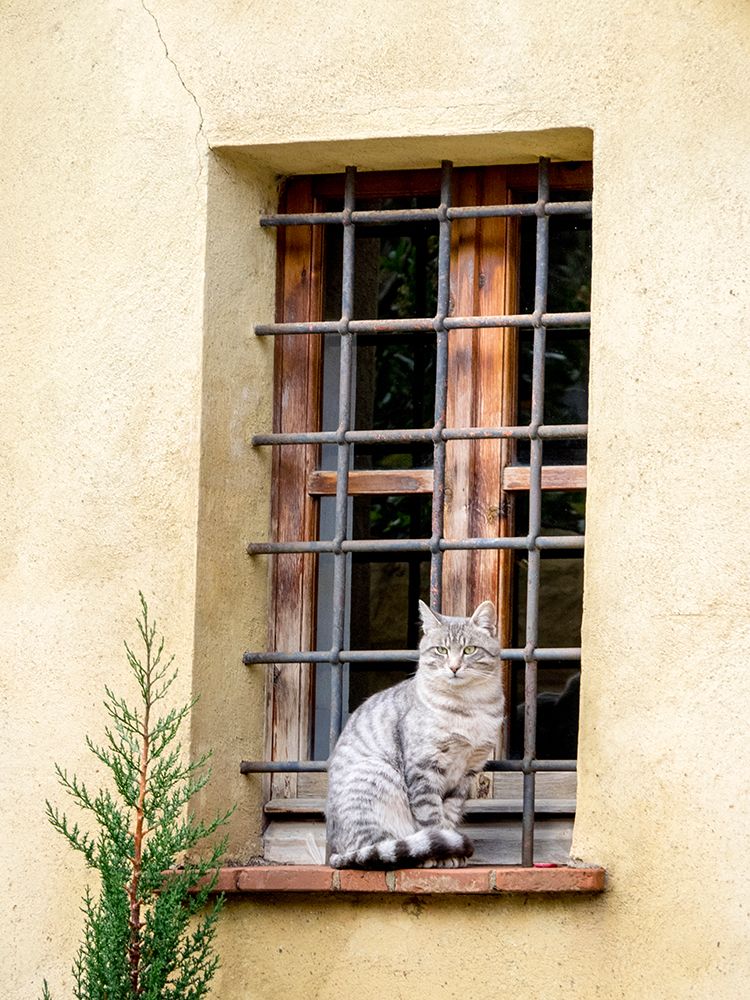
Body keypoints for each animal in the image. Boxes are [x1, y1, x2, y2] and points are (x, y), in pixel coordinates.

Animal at [324, 600, 506, 868]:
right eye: (441, 650)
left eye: (470, 649)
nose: (454, 667)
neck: (469, 706)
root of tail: (334, 853)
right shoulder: (424, 767)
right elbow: (431, 816)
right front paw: (445, 854)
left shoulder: (467, 773)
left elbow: (449, 815)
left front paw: (451, 849)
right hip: (376, 776)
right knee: (376, 850)